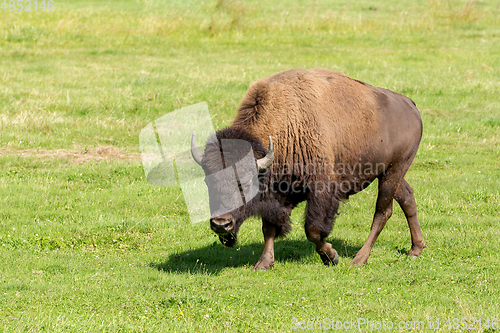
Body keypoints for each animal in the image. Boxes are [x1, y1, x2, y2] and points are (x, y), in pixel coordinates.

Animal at [191, 68, 426, 268]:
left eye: (246, 183)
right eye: (207, 181)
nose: (221, 224)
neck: (286, 125)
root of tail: (410, 105)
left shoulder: (321, 190)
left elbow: (312, 230)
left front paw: (331, 256)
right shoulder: (275, 194)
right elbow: (269, 228)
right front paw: (264, 263)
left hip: (393, 171)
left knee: (382, 211)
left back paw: (359, 259)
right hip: (388, 172)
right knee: (407, 196)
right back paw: (416, 249)